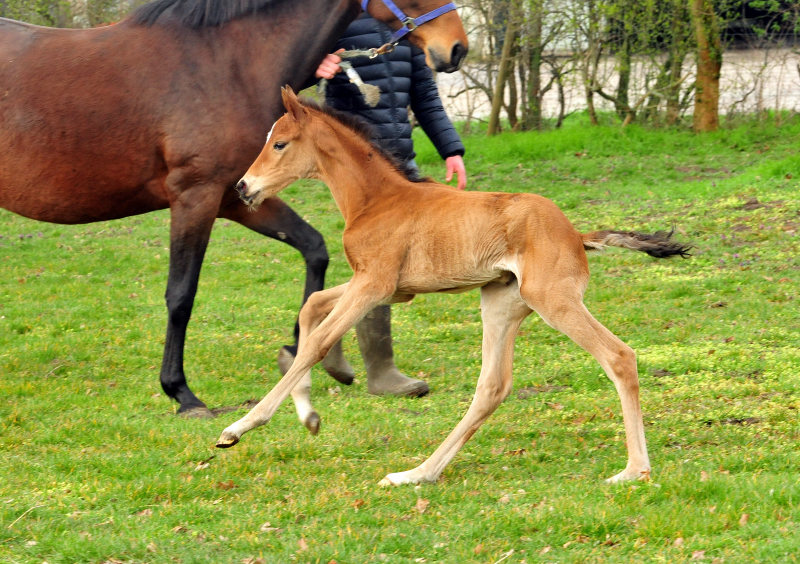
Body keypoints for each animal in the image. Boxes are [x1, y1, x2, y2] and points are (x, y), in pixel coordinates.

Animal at [0, 0, 468, 414]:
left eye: (279, 143)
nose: (457, 48)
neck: (225, 63)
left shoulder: (238, 197)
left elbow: (315, 250)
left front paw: (298, 348)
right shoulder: (196, 196)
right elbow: (181, 294)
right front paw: (181, 393)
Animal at [216, 88, 692, 484]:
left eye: (279, 143)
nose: (243, 186)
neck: (376, 199)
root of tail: (575, 234)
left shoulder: (373, 284)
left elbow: (315, 342)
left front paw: (239, 428)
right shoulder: (389, 287)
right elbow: (312, 306)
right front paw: (311, 413)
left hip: (553, 300)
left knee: (619, 356)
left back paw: (634, 470)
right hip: (501, 301)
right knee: (492, 387)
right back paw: (418, 474)